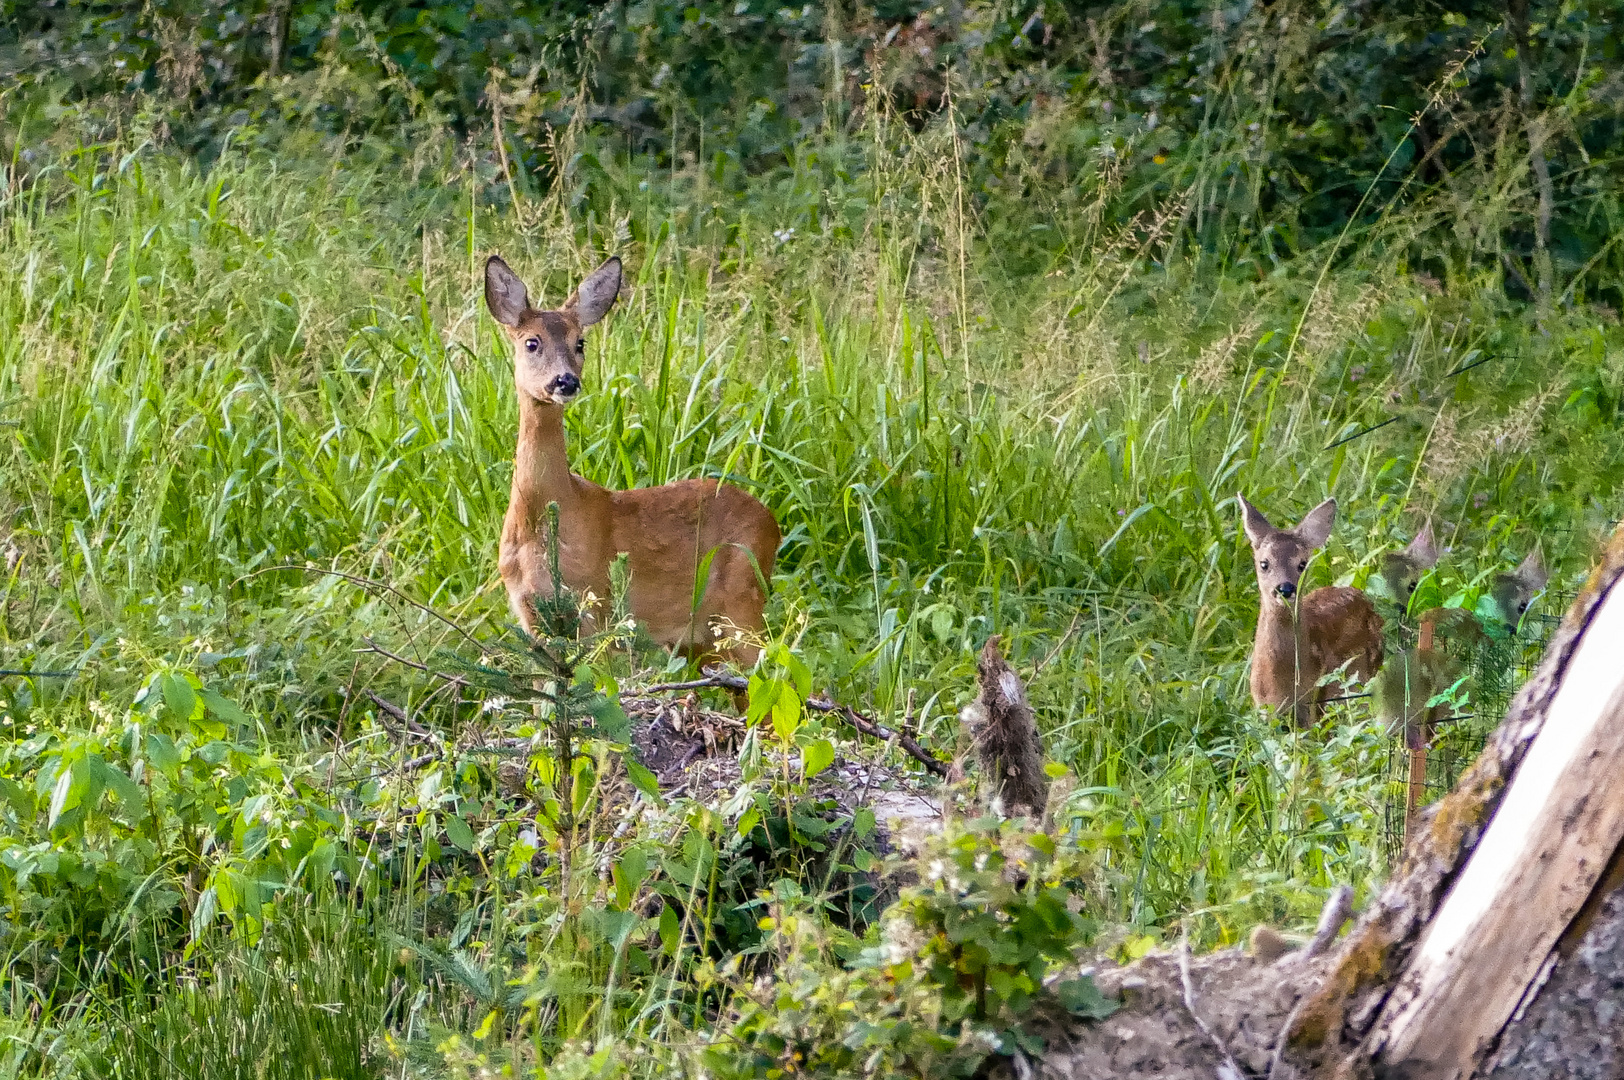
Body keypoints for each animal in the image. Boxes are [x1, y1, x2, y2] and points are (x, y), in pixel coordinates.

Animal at [480, 256, 779, 669]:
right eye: (531, 342)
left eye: (580, 342)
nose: (565, 381)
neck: (541, 521)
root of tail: (773, 524)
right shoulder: (529, 612)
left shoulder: (594, 601)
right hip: (702, 638)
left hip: (742, 600)